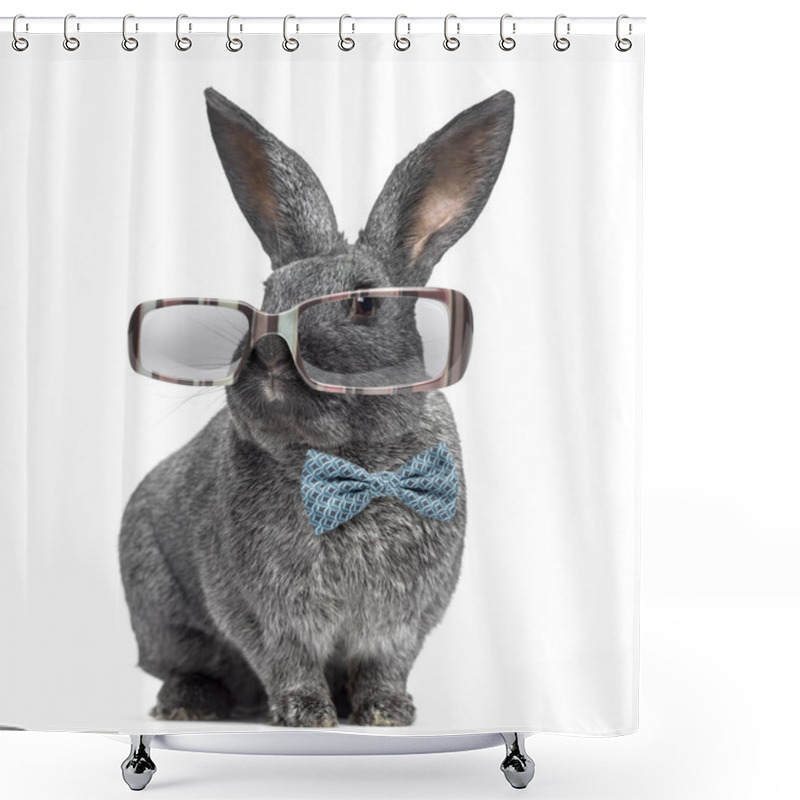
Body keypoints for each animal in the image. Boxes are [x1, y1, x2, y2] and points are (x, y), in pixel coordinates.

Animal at [122, 86, 516, 724]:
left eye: (363, 304)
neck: (355, 462)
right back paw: (189, 704)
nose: (267, 351)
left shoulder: (402, 624)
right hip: (160, 612)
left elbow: (384, 666)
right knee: (185, 665)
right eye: (266, 295)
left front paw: (385, 713)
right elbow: (287, 662)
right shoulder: (262, 614)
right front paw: (306, 713)